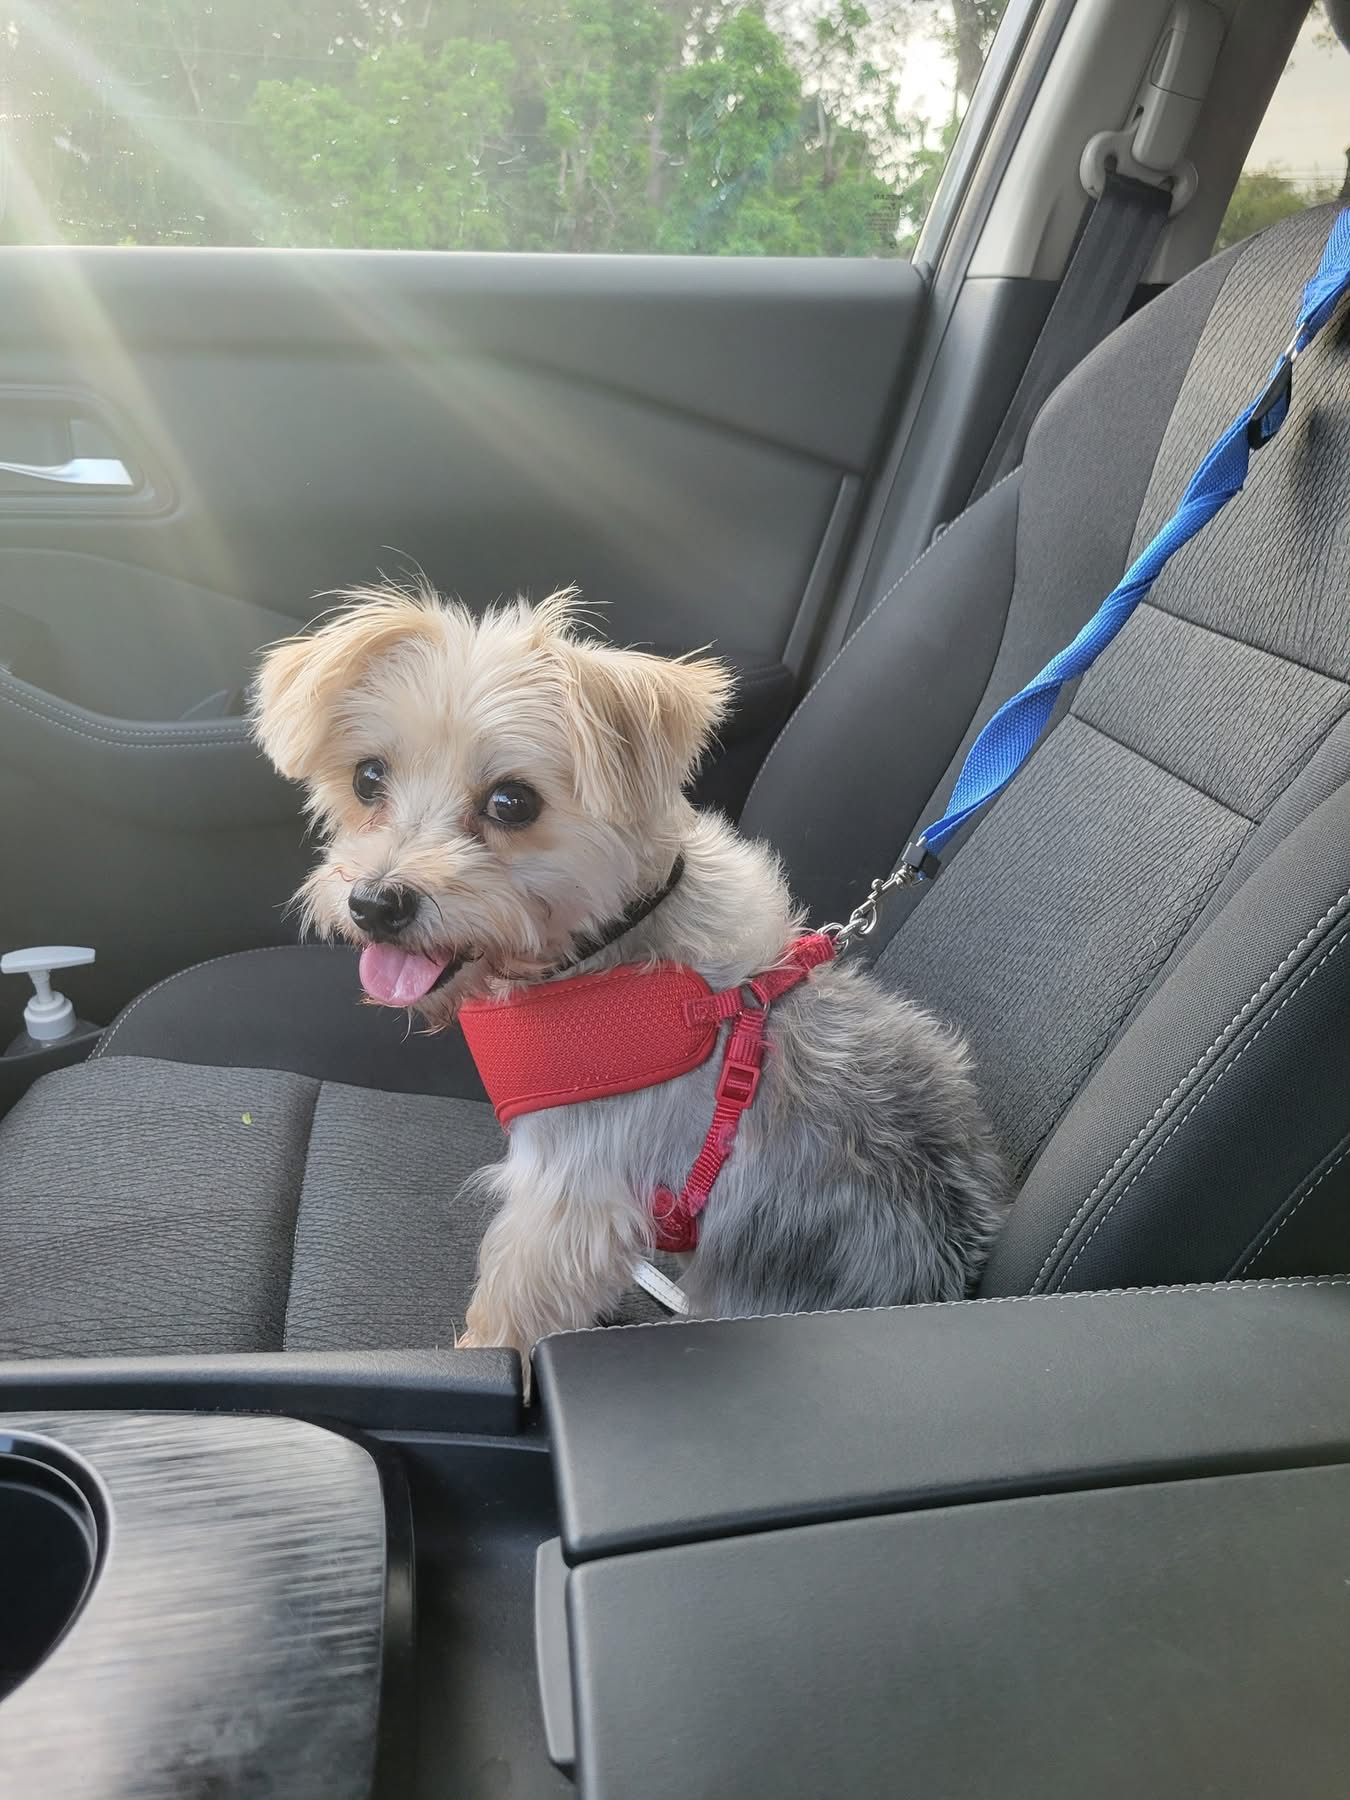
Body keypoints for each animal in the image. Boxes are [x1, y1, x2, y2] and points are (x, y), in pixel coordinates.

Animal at [252, 586, 1008, 1359]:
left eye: (512, 802)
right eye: (367, 777)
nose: (375, 903)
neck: (609, 943)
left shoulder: (571, 1193)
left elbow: (512, 1301)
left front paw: (480, 1351)